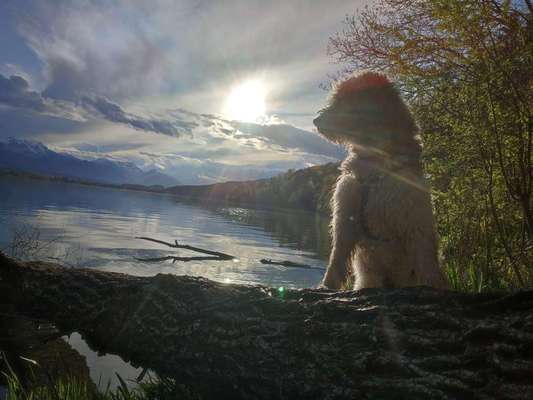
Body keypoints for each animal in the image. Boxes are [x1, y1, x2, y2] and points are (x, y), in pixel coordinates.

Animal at [312, 72, 448, 290]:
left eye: (343, 101)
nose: (316, 120)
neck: (375, 165)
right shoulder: (345, 215)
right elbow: (337, 258)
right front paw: (327, 287)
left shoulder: (416, 222)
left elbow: (426, 261)